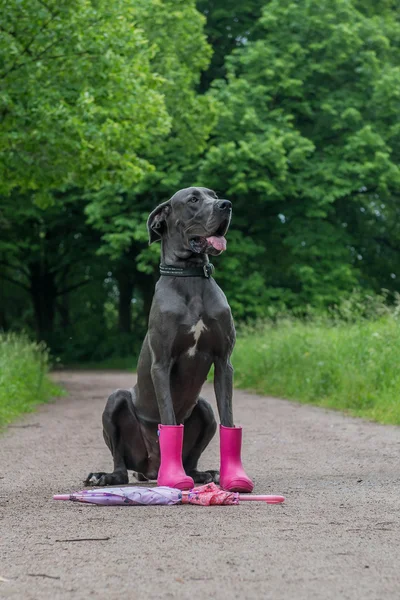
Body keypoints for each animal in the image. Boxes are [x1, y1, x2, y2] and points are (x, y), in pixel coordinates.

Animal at [86, 188, 238, 488]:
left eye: (213, 194)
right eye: (193, 199)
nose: (226, 205)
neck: (191, 278)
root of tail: (151, 469)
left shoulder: (223, 362)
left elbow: (228, 418)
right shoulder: (162, 364)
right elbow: (168, 417)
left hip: (204, 409)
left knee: (193, 454)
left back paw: (202, 473)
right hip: (115, 401)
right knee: (121, 465)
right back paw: (105, 476)